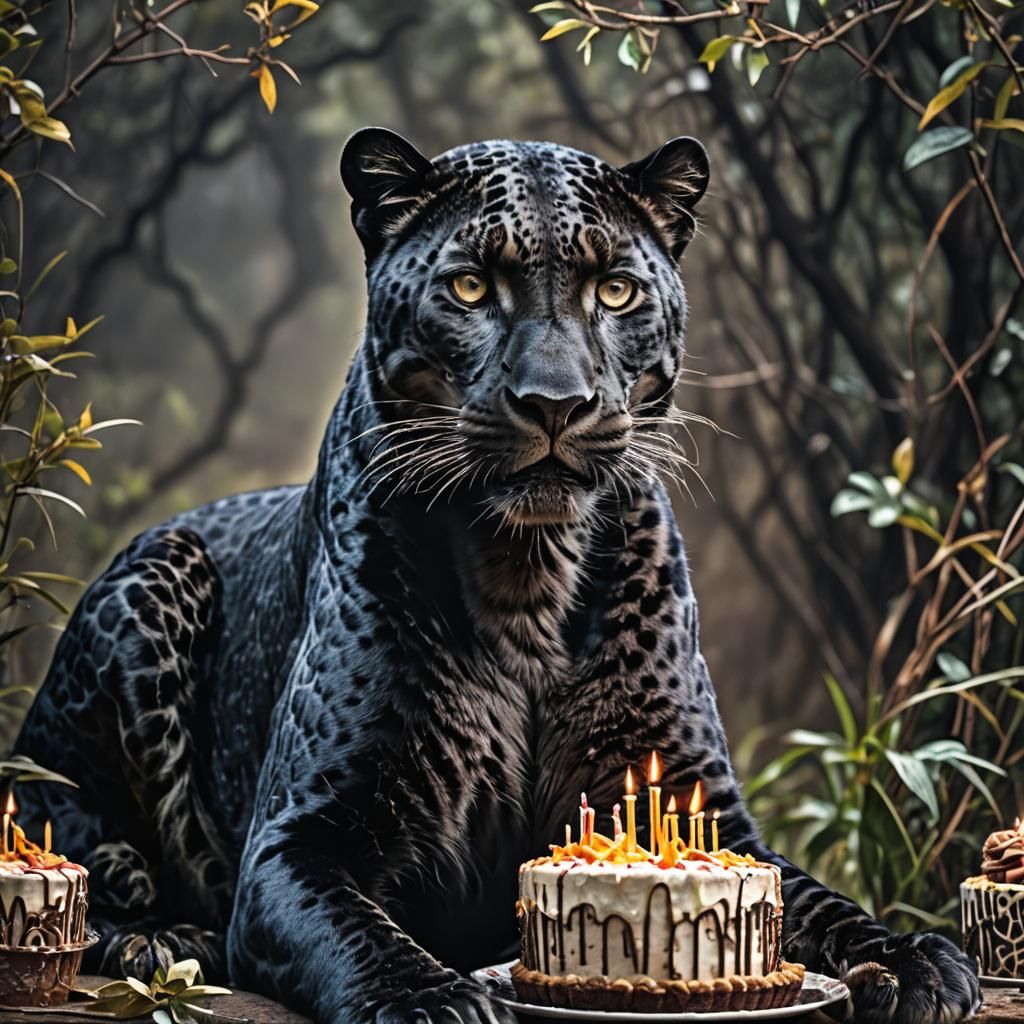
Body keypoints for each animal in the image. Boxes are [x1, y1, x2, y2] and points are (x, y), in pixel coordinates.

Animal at [13, 128, 981, 1024]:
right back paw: (158, 938)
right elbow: (357, 933)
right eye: (472, 287)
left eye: (616, 289)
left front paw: (911, 962)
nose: (555, 403)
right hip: (149, 586)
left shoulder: (699, 800)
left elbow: (818, 901)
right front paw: (431, 998)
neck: (528, 577)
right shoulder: (300, 838)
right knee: (74, 845)